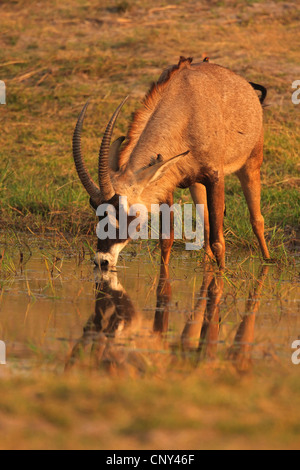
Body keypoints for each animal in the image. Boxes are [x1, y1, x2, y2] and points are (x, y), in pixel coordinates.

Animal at [72, 56, 270, 268]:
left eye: (126, 212)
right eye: (97, 211)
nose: (102, 260)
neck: (186, 106)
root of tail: (246, 86)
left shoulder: (216, 178)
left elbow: (219, 242)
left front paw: (222, 273)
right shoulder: (166, 184)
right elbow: (166, 240)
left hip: (251, 165)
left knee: (257, 219)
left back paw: (268, 261)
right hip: (196, 183)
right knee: (207, 222)